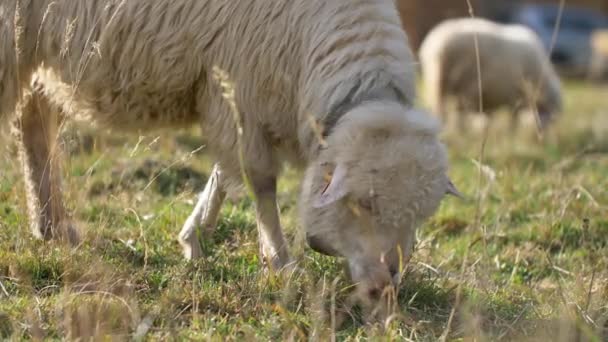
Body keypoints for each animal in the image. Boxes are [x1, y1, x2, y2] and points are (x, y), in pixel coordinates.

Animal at [0, 0, 458, 310]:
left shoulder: (237, 99)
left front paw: (194, 237)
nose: (384, 286)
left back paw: (52, 227)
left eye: (420, 216)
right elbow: (260, 182)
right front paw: (280, 262)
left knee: (34, 123)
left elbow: (224, 171)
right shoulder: (238, 89)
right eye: (363, 204)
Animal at [418, 17, 560, 132]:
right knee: (451, 112)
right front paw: (511, 133)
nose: (543, 136)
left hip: (440, 82)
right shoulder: (514, 96)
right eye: (550, 118)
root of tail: (437, 44)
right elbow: (512, 120)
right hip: (454, 84)